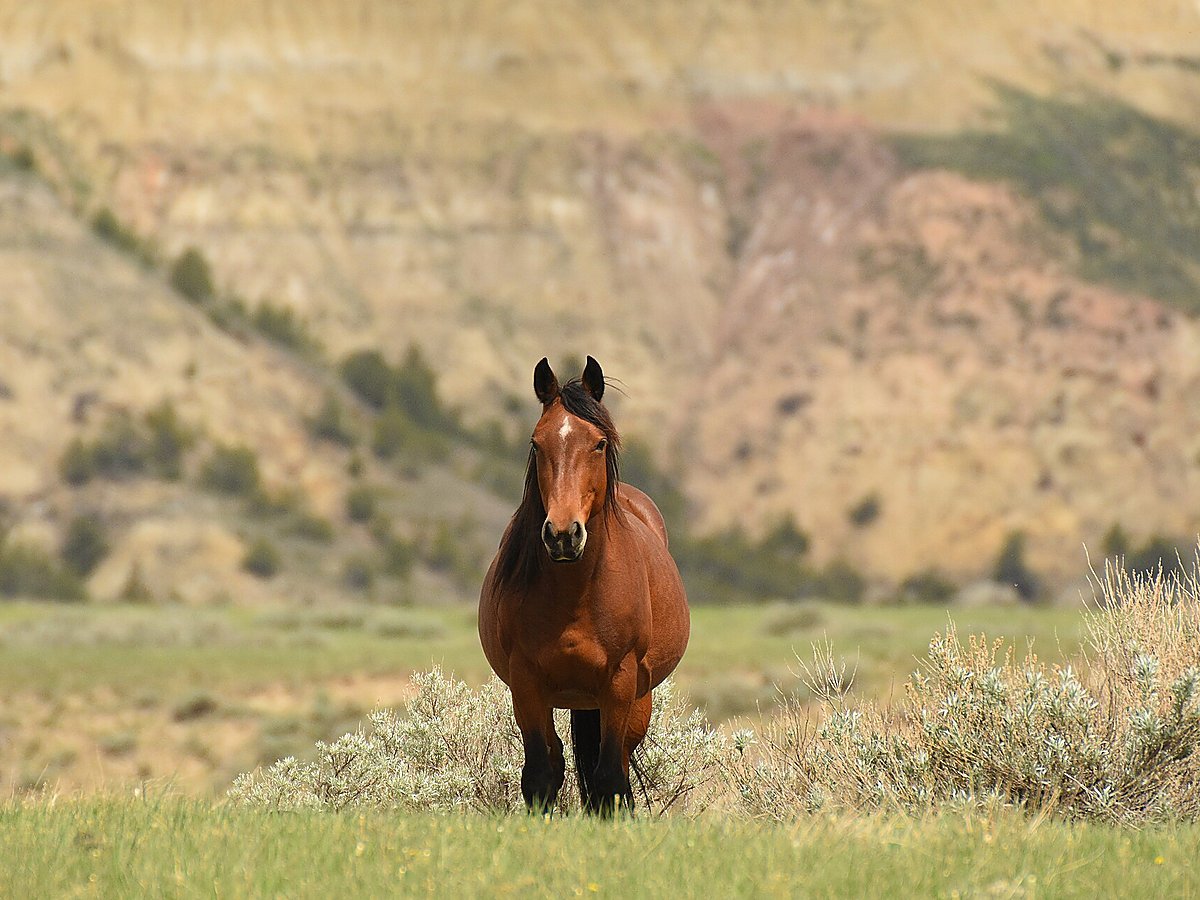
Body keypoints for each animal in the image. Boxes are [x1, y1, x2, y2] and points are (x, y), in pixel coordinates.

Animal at [478, 356, 690, 816]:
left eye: (598, 443)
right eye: (536, 444)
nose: (562, 534)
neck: (574, 595)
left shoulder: (619, 682)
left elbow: (609, 778)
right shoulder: (526, 682)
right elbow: (541, 775)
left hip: (635, 702)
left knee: (618, 765)